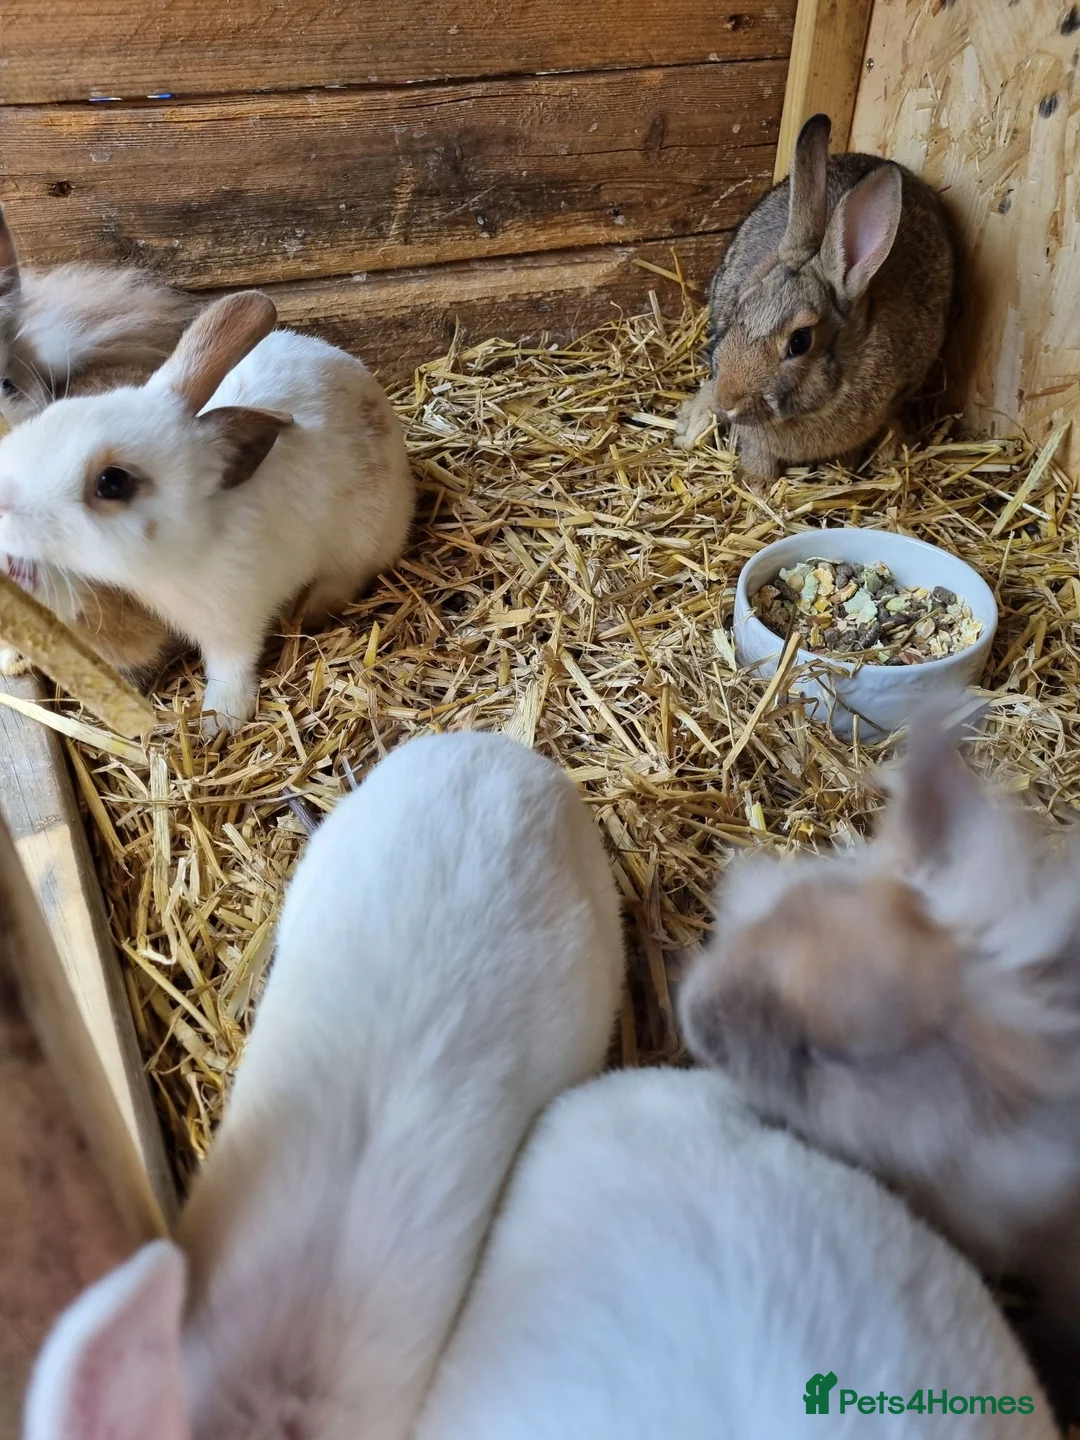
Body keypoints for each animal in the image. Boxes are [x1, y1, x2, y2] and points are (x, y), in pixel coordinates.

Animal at [0, 287, 416, 735]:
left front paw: (221, 720)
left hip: (363, 541)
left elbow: (230, 665)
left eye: (112, 482)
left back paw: (310, 613)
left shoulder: (231, 619)